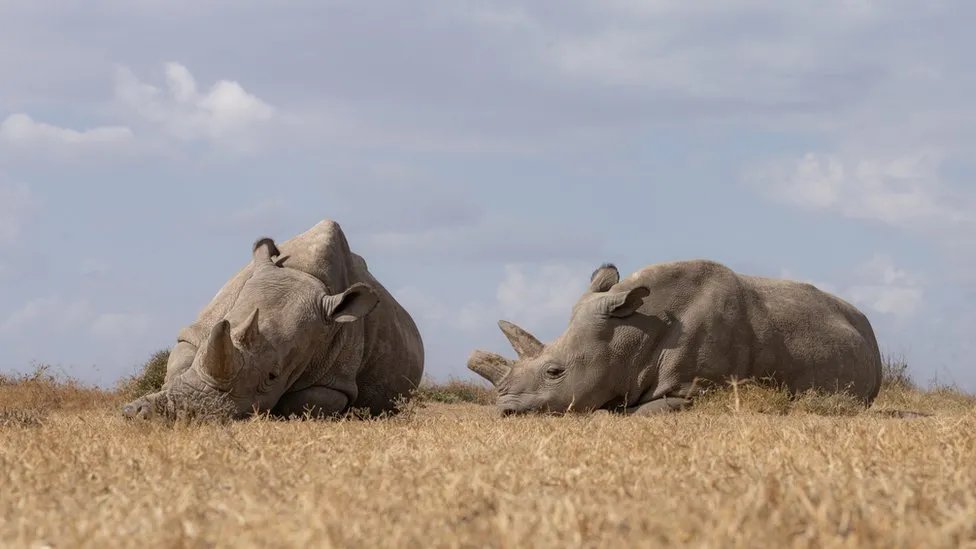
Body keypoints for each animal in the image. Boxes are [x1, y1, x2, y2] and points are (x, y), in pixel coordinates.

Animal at [121, 218, 424, 420]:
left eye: (272, 376)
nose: (185, 415)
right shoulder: (197, 332)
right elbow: (180, 364)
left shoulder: (337, 379)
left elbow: (306, 401)